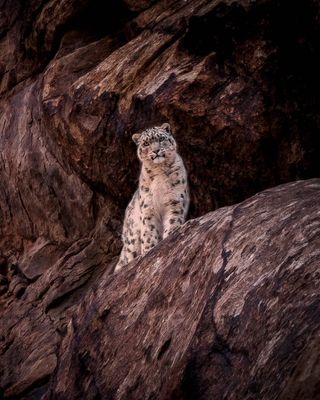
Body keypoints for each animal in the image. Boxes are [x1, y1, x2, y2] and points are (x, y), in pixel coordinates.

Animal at [115, 122, 189, 272]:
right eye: (146, 143)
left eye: (161, 139)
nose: (156, 151)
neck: (160, 170)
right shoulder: (148, 208)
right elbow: (148, 231)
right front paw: (149, 249)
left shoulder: (175, 201)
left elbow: (172, 220)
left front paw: (170, 234)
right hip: (131, 238)